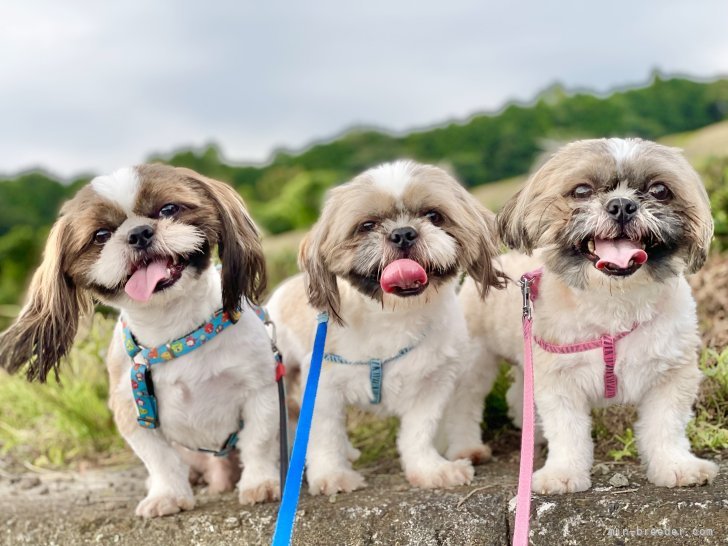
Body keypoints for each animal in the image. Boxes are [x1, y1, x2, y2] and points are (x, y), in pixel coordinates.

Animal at [0, 165, 282, 516]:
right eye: (101, 235)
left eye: (168, 209)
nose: (139, 233)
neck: (175, 334)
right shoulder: (134, 411)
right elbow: (160, 460)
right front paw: (168, 495)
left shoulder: (260, 388)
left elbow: (258, 441)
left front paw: (260, 483)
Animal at [264, 159, 504, 496]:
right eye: (367, 225)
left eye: (433, 215)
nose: (403, 233)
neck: (394, 317)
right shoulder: (322, 387)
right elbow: (324, 435)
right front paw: (332, 475)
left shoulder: (432, 384)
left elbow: (418, 433)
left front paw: (429, 470)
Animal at [452, 137, 720, 492]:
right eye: (581, 191)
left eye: (660, 190)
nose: (622, 205)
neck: (614, 304)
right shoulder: (560, 380)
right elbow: (568, 432)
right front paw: (562, 473)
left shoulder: (671, 374)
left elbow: (666, 426)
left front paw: (676, 465)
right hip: (475, 362)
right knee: (465, 403)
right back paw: (467, 447)